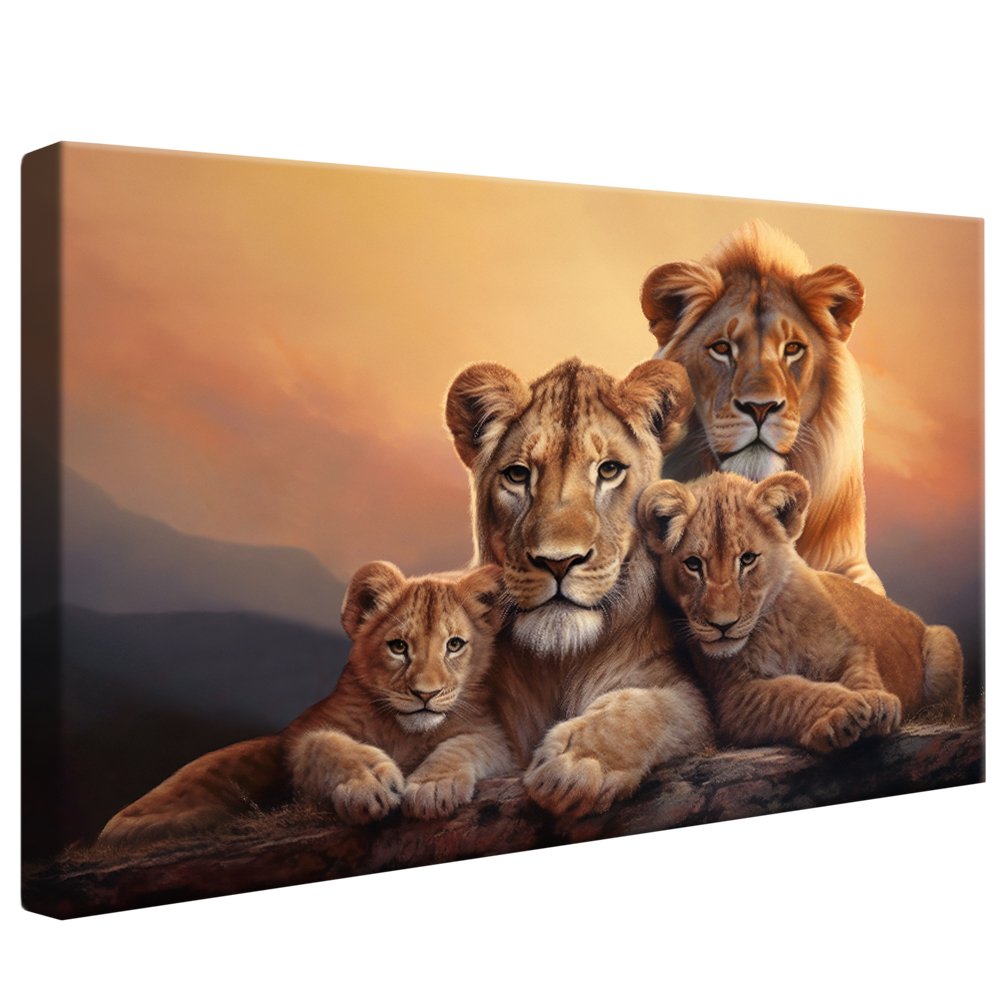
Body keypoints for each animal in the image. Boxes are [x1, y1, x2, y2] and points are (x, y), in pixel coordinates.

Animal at [98, 562, 513, 844]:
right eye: (398, 647)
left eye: (454, 645)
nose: (425, 694)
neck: (402, 732)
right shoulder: (301, 733)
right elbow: (325, 744)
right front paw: (369, 781)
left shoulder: (496, 735)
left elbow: (465, 744)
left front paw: (433, 787)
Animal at [444, 357, 712, 818]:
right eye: (518, 475)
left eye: (609, 470)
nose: (558, 561)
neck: (561, 663)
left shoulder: (691, 701)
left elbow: (652, 707)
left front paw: (576, 763)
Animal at [638, 471, 963, 753]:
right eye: (693, 564)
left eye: (747, 559)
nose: (722, 625)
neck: (773, 626)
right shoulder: (733, 699)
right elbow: (792, 693)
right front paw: (842, 711)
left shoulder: (850, 648)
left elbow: (862, 674)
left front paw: (878, 702)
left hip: (944, 639)